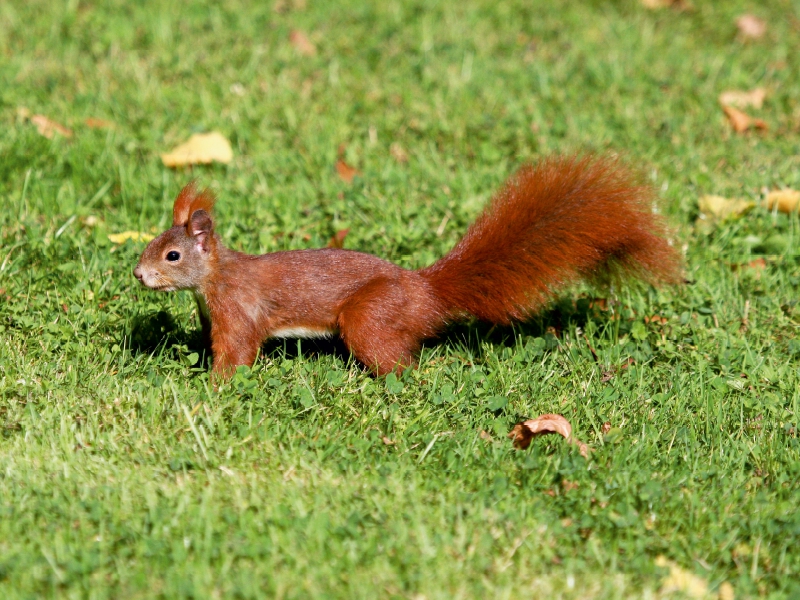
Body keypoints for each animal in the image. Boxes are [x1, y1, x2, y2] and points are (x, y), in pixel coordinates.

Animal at [133, 156, 680, 380]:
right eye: (154, 244)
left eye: (172, 255)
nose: (138, 275)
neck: (216, 278)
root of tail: (426, 292)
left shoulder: (238, 313)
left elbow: (238, 353)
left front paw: (213, 387)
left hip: (369, 318)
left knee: (400, 362)